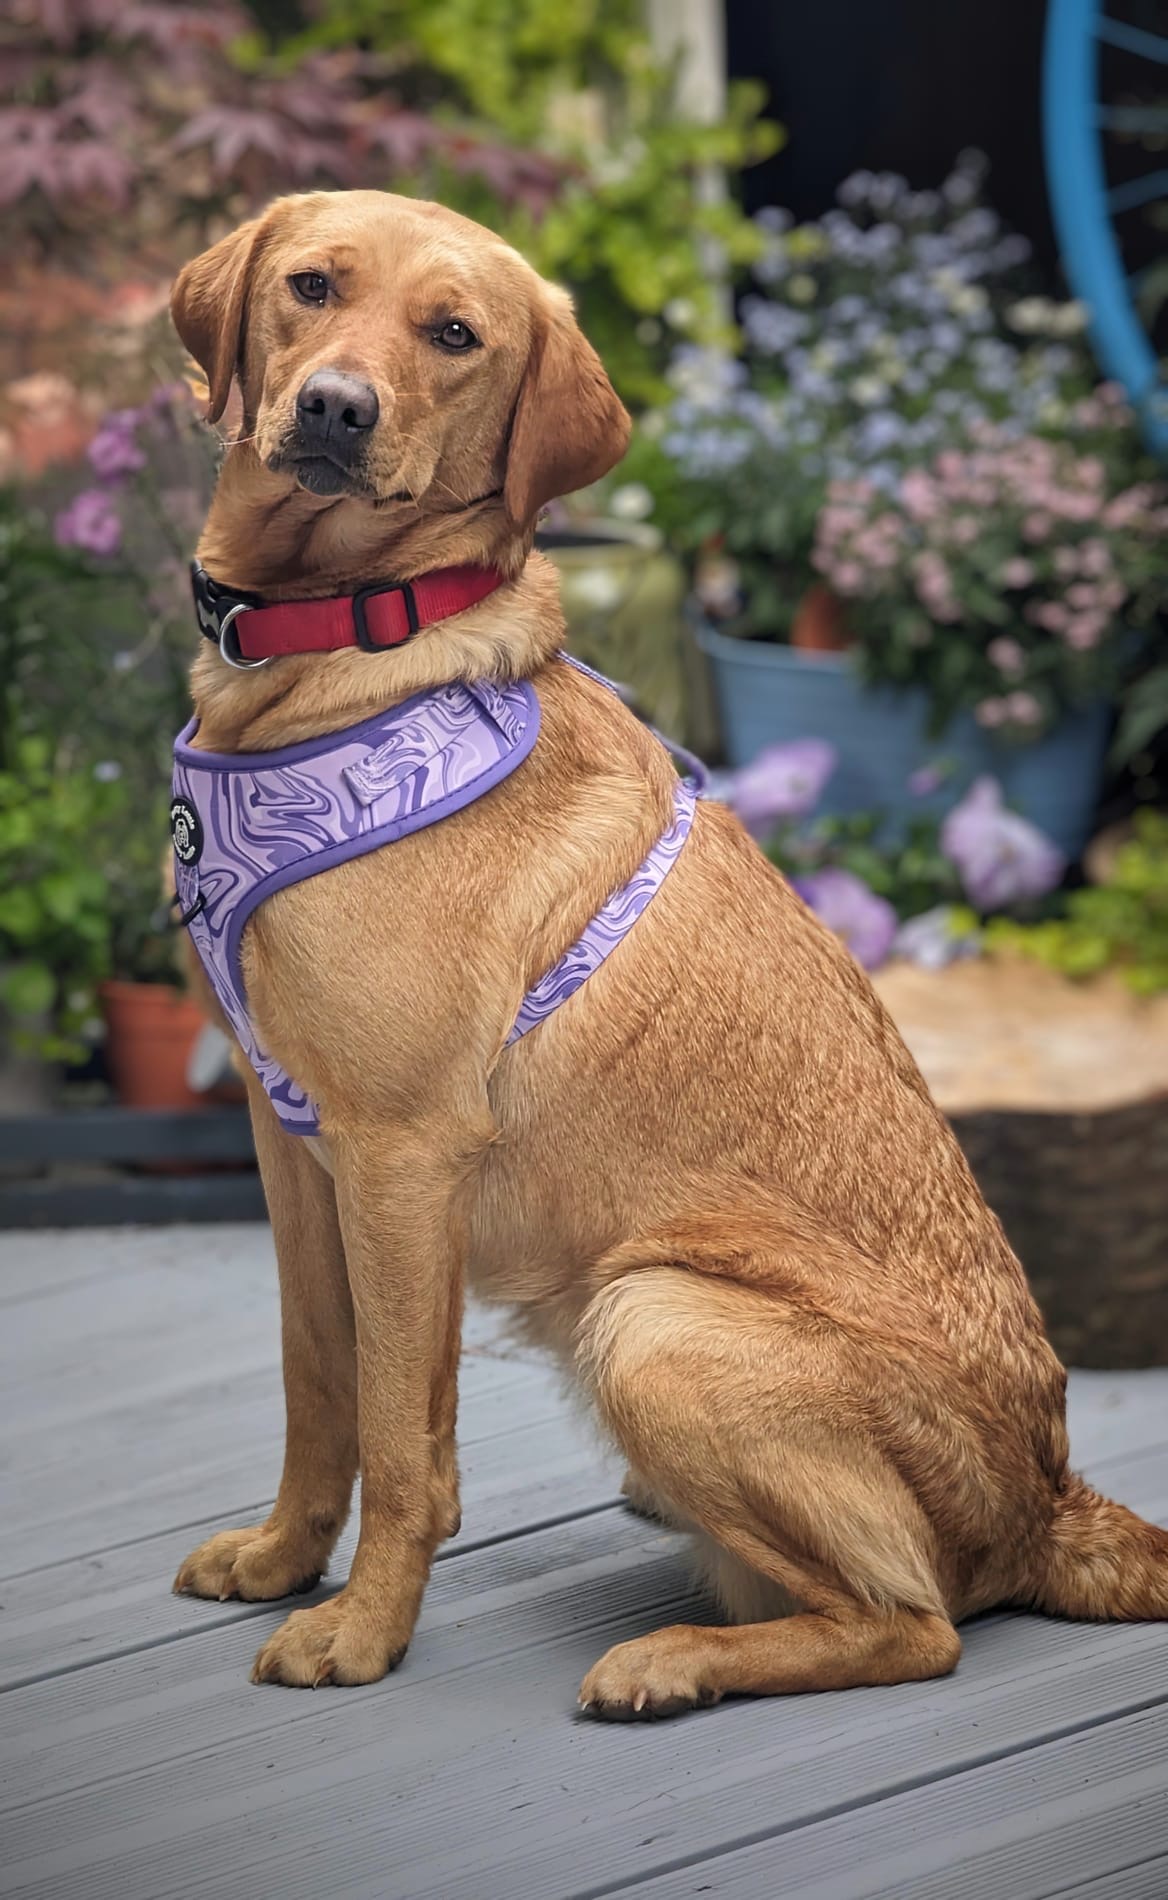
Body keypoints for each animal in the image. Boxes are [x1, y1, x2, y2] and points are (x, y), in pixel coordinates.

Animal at [168, 189, 1167, 1715]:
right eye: (311, 287)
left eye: (454, 335)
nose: (336, 408)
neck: (331, 654)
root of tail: (1051, 1497)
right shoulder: (294, 1147)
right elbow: (317, 1384)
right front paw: (285, 1558)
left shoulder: (401, 1155)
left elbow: (404, 1441)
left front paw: (362, 1629)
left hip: (650, 1313)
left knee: (916, 1624)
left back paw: (676, 1662)